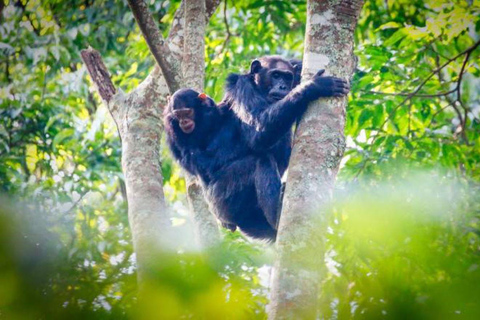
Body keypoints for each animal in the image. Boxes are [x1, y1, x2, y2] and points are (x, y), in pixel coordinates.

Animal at [162, 56, 348, 240]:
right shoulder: (242, 88)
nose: (283, 86)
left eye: (287, 77)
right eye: (275, 75)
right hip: (223, 199)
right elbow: (258, 130)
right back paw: (276, 215)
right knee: (260, 161)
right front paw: (315, 86)